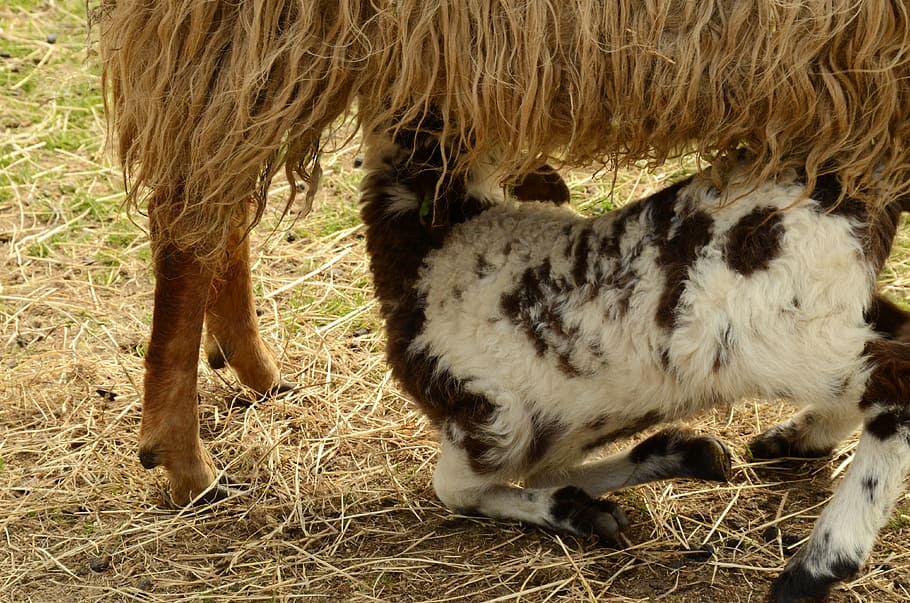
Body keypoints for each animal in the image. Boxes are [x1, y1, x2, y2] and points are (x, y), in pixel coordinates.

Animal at [359, 123, 910, 602]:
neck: (433, 246)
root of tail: (848, 180)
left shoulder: (487, 421)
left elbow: (455, 491)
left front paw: (574, 511)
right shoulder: (555, 427)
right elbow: (545, 472)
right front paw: (680, 457)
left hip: (779, 337)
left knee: (893, 385)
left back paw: (817, 566)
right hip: (832, 318)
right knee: (892, 342)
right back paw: (797, 439)